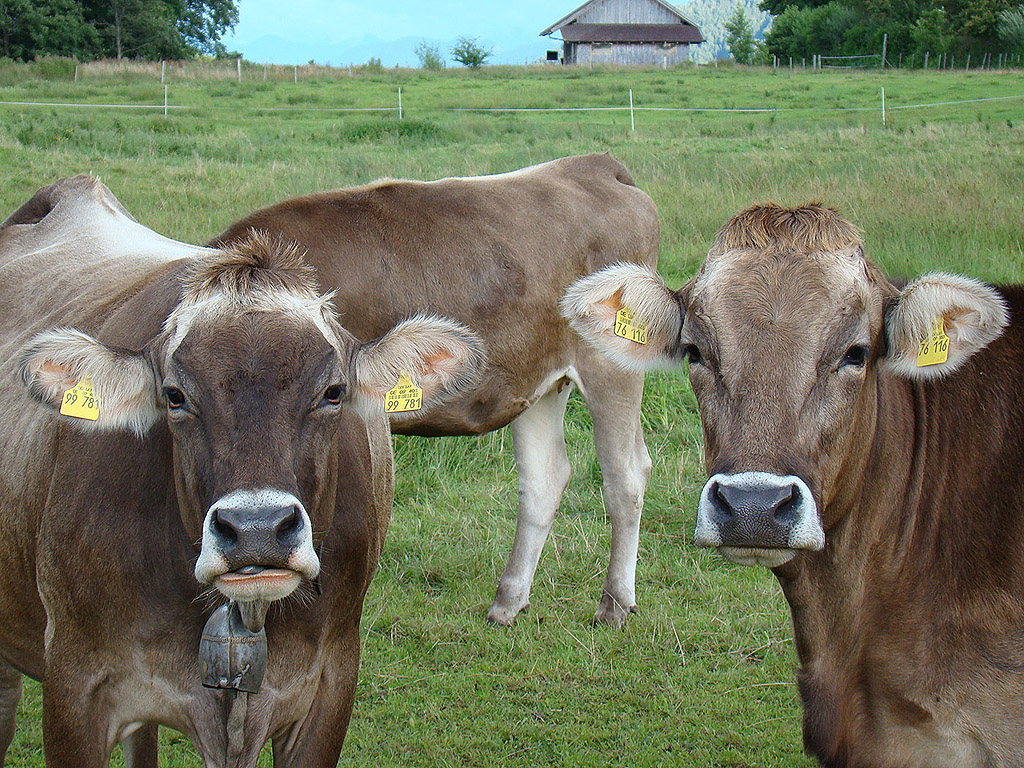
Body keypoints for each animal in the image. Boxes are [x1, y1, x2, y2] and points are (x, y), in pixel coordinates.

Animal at [207, 153, 659, 626]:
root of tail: (593, 165)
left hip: (612, 364)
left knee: (626, 476)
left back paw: (614, 603)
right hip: (541, 381)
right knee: (545, 479)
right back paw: (508, 601)